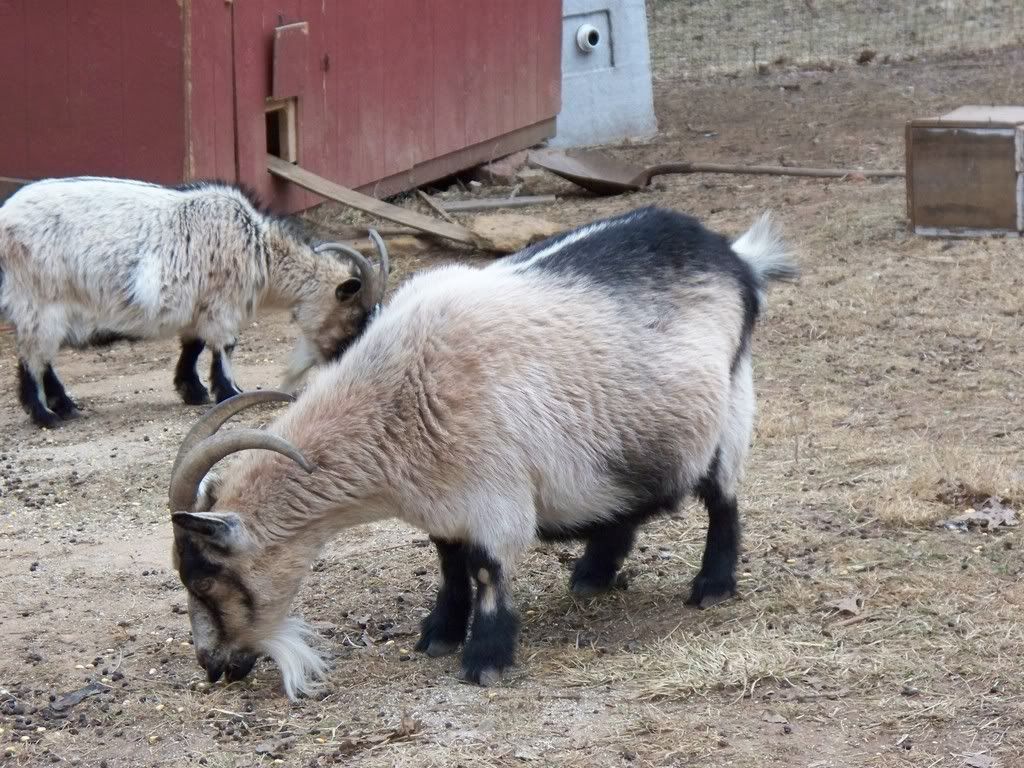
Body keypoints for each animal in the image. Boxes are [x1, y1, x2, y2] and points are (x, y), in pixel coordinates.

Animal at [0, 176, 388, 427]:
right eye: (356, 315)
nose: (346, 362)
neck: (260, 249)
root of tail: (5, 220)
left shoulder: (198, 305)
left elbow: (193, 345)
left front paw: (193, 390)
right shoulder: (222, 303)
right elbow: (224, 346)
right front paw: (229, 391)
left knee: (42, 358)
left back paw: (65, 407)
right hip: (39, 299)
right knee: (33, 356)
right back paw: (47, 415)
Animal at [167, 206, 796, 698]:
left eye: (204, 580)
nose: (213, 666)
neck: (400, 394)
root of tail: (734, 257)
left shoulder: (495, 491)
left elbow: (488, 568)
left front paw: (485, 660)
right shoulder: (443, 501)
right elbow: (450, 565)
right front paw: (440, 634)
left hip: (730, 406)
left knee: (723, 499)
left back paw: (712, 587)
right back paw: (593, 573)